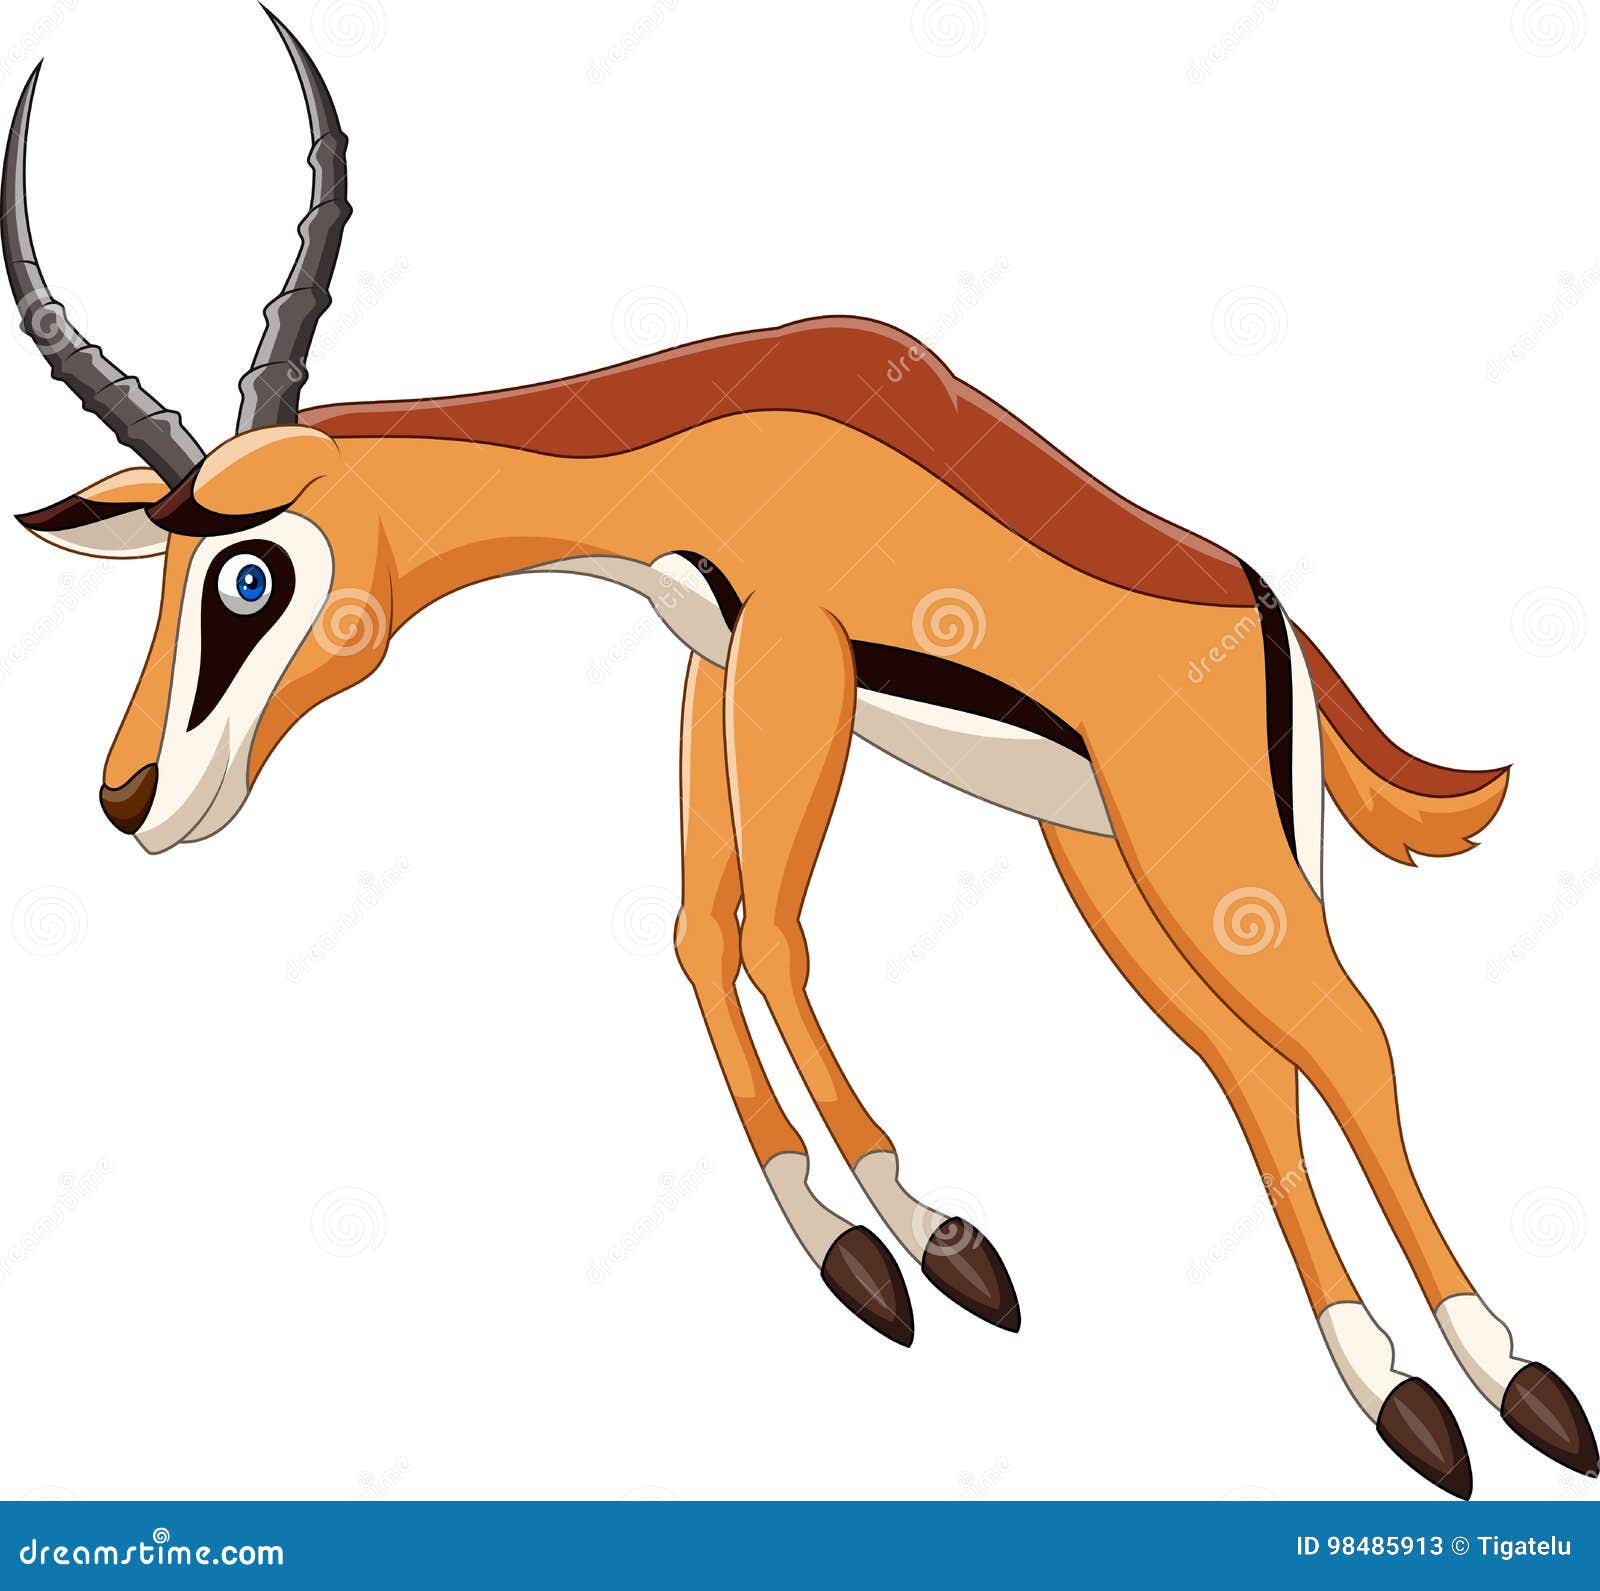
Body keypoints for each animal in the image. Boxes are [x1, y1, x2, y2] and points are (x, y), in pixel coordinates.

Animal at [7, 12, 1594, 1502]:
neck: (714, 433)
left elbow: (773, 928)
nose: (132, 795)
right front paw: (853, 1251)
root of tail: (1275, 617)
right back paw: (1390, 1387)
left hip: (1213, 862)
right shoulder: (715, 670)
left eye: (249, 572)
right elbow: (699, 925)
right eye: (164, 565)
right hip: (1110, 865)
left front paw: (940, 1243)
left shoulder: (797, 663)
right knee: (1254, 1065)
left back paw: (1509, 1388)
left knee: (1351, 1037)